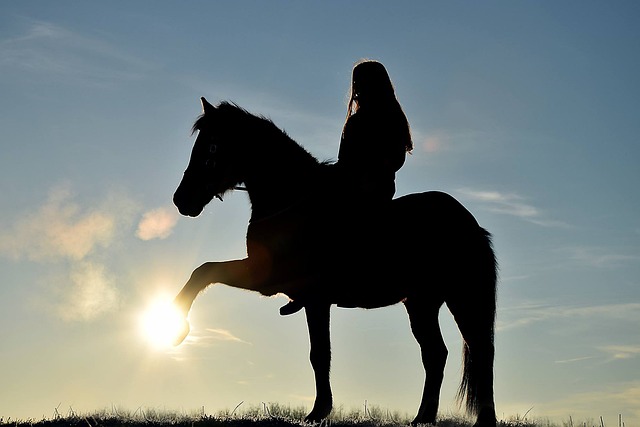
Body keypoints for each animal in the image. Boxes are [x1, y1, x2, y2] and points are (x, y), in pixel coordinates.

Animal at [171, 98, 500, 427]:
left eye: (212, 146)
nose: (181, 200)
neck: (291, 200)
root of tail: (470, 224)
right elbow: (204, 271)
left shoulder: (299, 292)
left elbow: (319, 354)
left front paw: (319, 411)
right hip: (422, 303)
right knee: (435, 354)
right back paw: (423, 417)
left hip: (463, 297)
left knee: (480, 349)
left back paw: (483, 418)